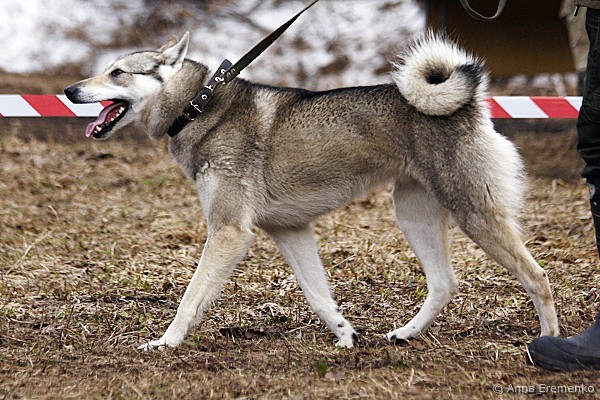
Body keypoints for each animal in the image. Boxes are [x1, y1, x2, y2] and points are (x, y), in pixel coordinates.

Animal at [64, 32, 559, 350]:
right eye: (103, 70)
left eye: (117, 73)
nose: (69, 90)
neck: (198, 107)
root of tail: (469, 105)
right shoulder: (291, 231)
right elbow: (319, 298)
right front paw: (344, 335)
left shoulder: (228, 233)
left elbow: (190, 300)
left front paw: (164, 343)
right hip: (412, 214)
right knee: (443, 283)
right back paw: (405, 334)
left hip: (475, 215)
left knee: (538, 277)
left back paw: (549, 343)